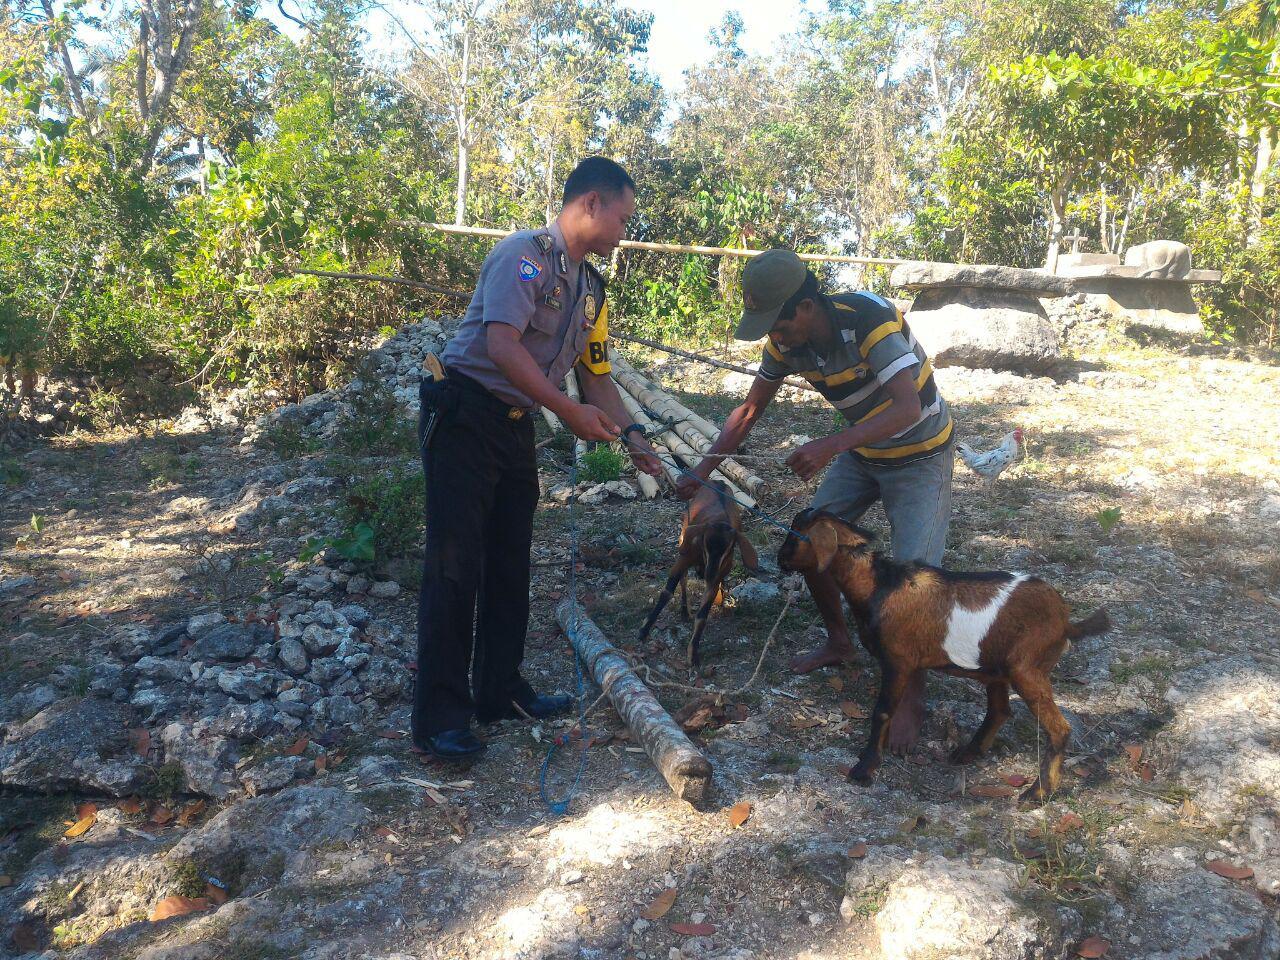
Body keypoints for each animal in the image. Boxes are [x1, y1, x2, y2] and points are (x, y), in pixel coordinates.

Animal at [637, 483, 757, 665]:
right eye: (706, 543)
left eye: (729, 549)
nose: (708, 574)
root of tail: (720, 482)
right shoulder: (684, 559)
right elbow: (667, 592)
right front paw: (644, 630)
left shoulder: (718, 574)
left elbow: (702, 616)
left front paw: (693, 653)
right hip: (683, 540)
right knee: (684, 579)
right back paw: (684, 612)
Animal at [778, 512, 1111, 803]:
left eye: (796, 534)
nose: (780, 559)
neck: (880, 585)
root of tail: (1065, 622)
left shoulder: (897, 660)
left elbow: (883, 711)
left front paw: (864, 768)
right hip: (997, 667)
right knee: (1000, 710)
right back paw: (968, 753)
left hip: (1027, 669)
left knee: (1059, 729)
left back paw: (1037, 793)